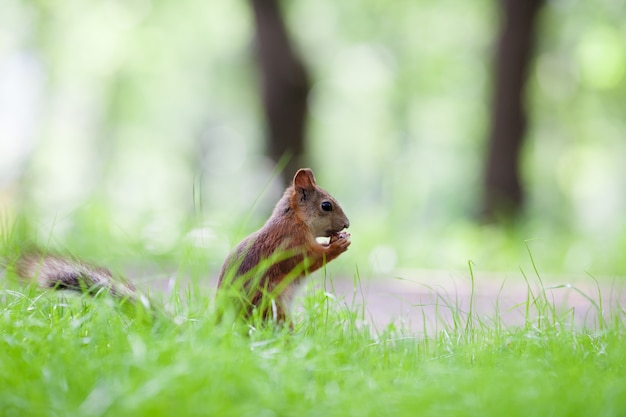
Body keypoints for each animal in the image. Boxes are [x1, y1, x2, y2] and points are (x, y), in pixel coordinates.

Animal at [12, 167, 348, 324]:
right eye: (326, 205)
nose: (345, 225)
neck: (294, 219)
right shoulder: (289, 243)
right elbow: (308, 259)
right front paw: (337, 247)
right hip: (270, 308)